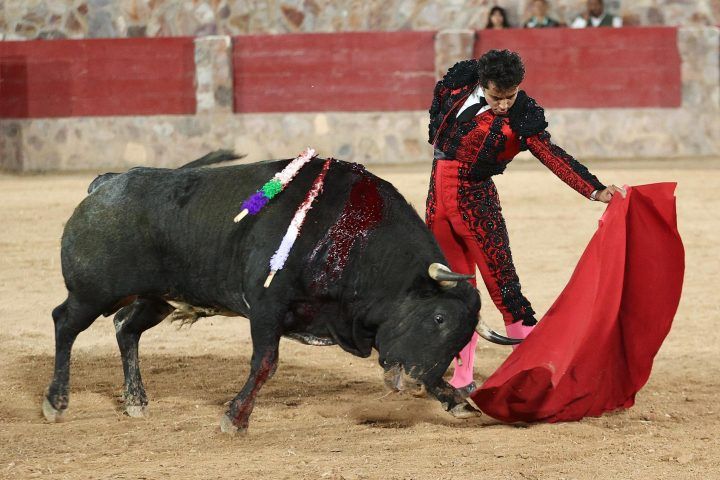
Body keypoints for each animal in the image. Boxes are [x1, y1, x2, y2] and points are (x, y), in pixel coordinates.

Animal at [42, 151, 518, 433]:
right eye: (438, 318)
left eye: (461, 337)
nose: (417, 382)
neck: (352, 239)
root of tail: (106, 183)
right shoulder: (266, 309)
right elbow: (266, 363)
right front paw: (234, 419)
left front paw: (456, 400)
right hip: (93, 292)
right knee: (65, 323)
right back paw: (56, 402)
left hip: (156, 296)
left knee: (126, 329)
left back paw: (136, 403)